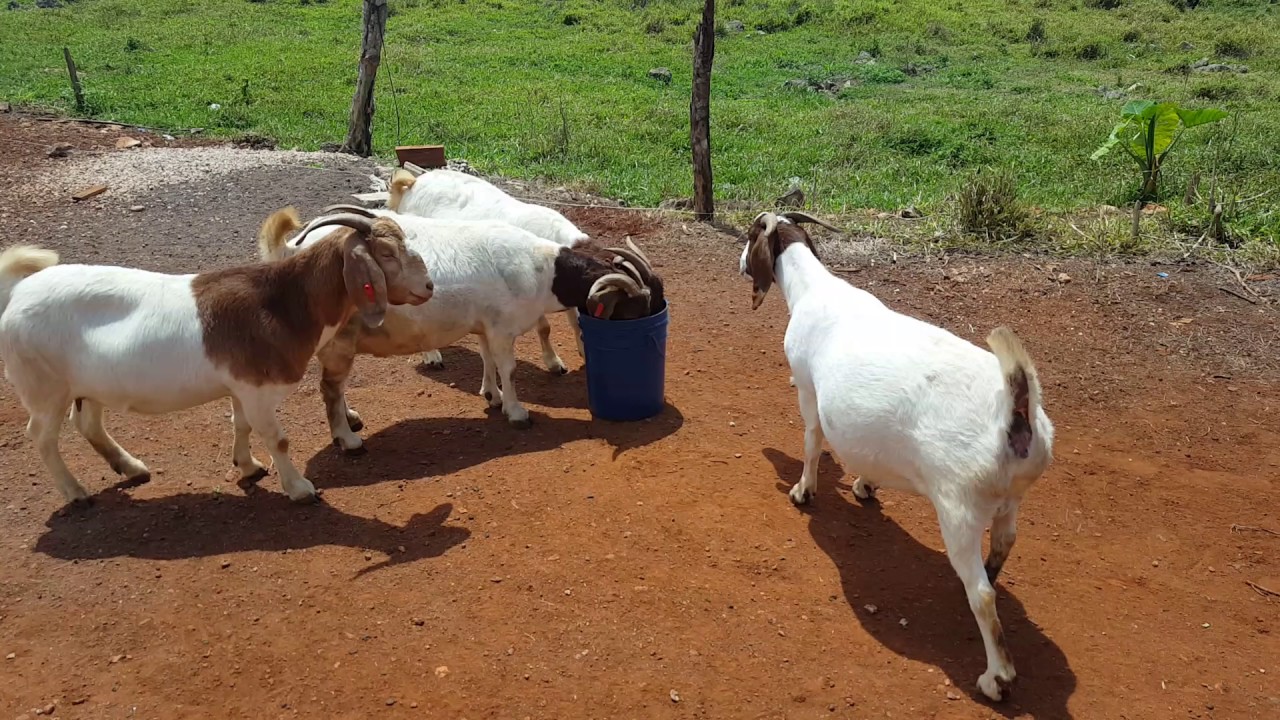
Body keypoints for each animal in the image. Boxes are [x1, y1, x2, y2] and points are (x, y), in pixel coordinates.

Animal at [0, 215, 431, 507]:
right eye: (386, 253)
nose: (428, 286)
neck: (280, 304)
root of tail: (18, 293)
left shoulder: (241, 386)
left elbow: (240, 424)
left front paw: (248, 466)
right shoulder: (257, 390)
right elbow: (278, 438)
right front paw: (299, 489)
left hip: (89, 386)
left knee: (87, 423)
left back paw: (132, 468)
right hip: (45, 388)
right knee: (42, 435)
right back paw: (75, 492)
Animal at [260, 205, 660, 449]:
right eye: (632, 310)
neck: (542, 269)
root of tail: (292, 254)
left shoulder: (484, 324)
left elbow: (486, 359)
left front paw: (491, 396)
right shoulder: (501, 329)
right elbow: (508, 368)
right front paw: (516, 412)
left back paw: (352, 418)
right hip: (338, 340)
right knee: (331, 386)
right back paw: (348, 436)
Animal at [740, 211, 1054, 702]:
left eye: (749, 234)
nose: (738, 265)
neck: (813, 289)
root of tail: (1015, 408)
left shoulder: (807, 387)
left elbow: (811, 439)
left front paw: (803, 490)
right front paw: (865, 485)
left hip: (959, 507)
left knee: (982, 597)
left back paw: (996, 677)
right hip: (1010, 497)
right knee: (1004, 544)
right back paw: (982, 577)